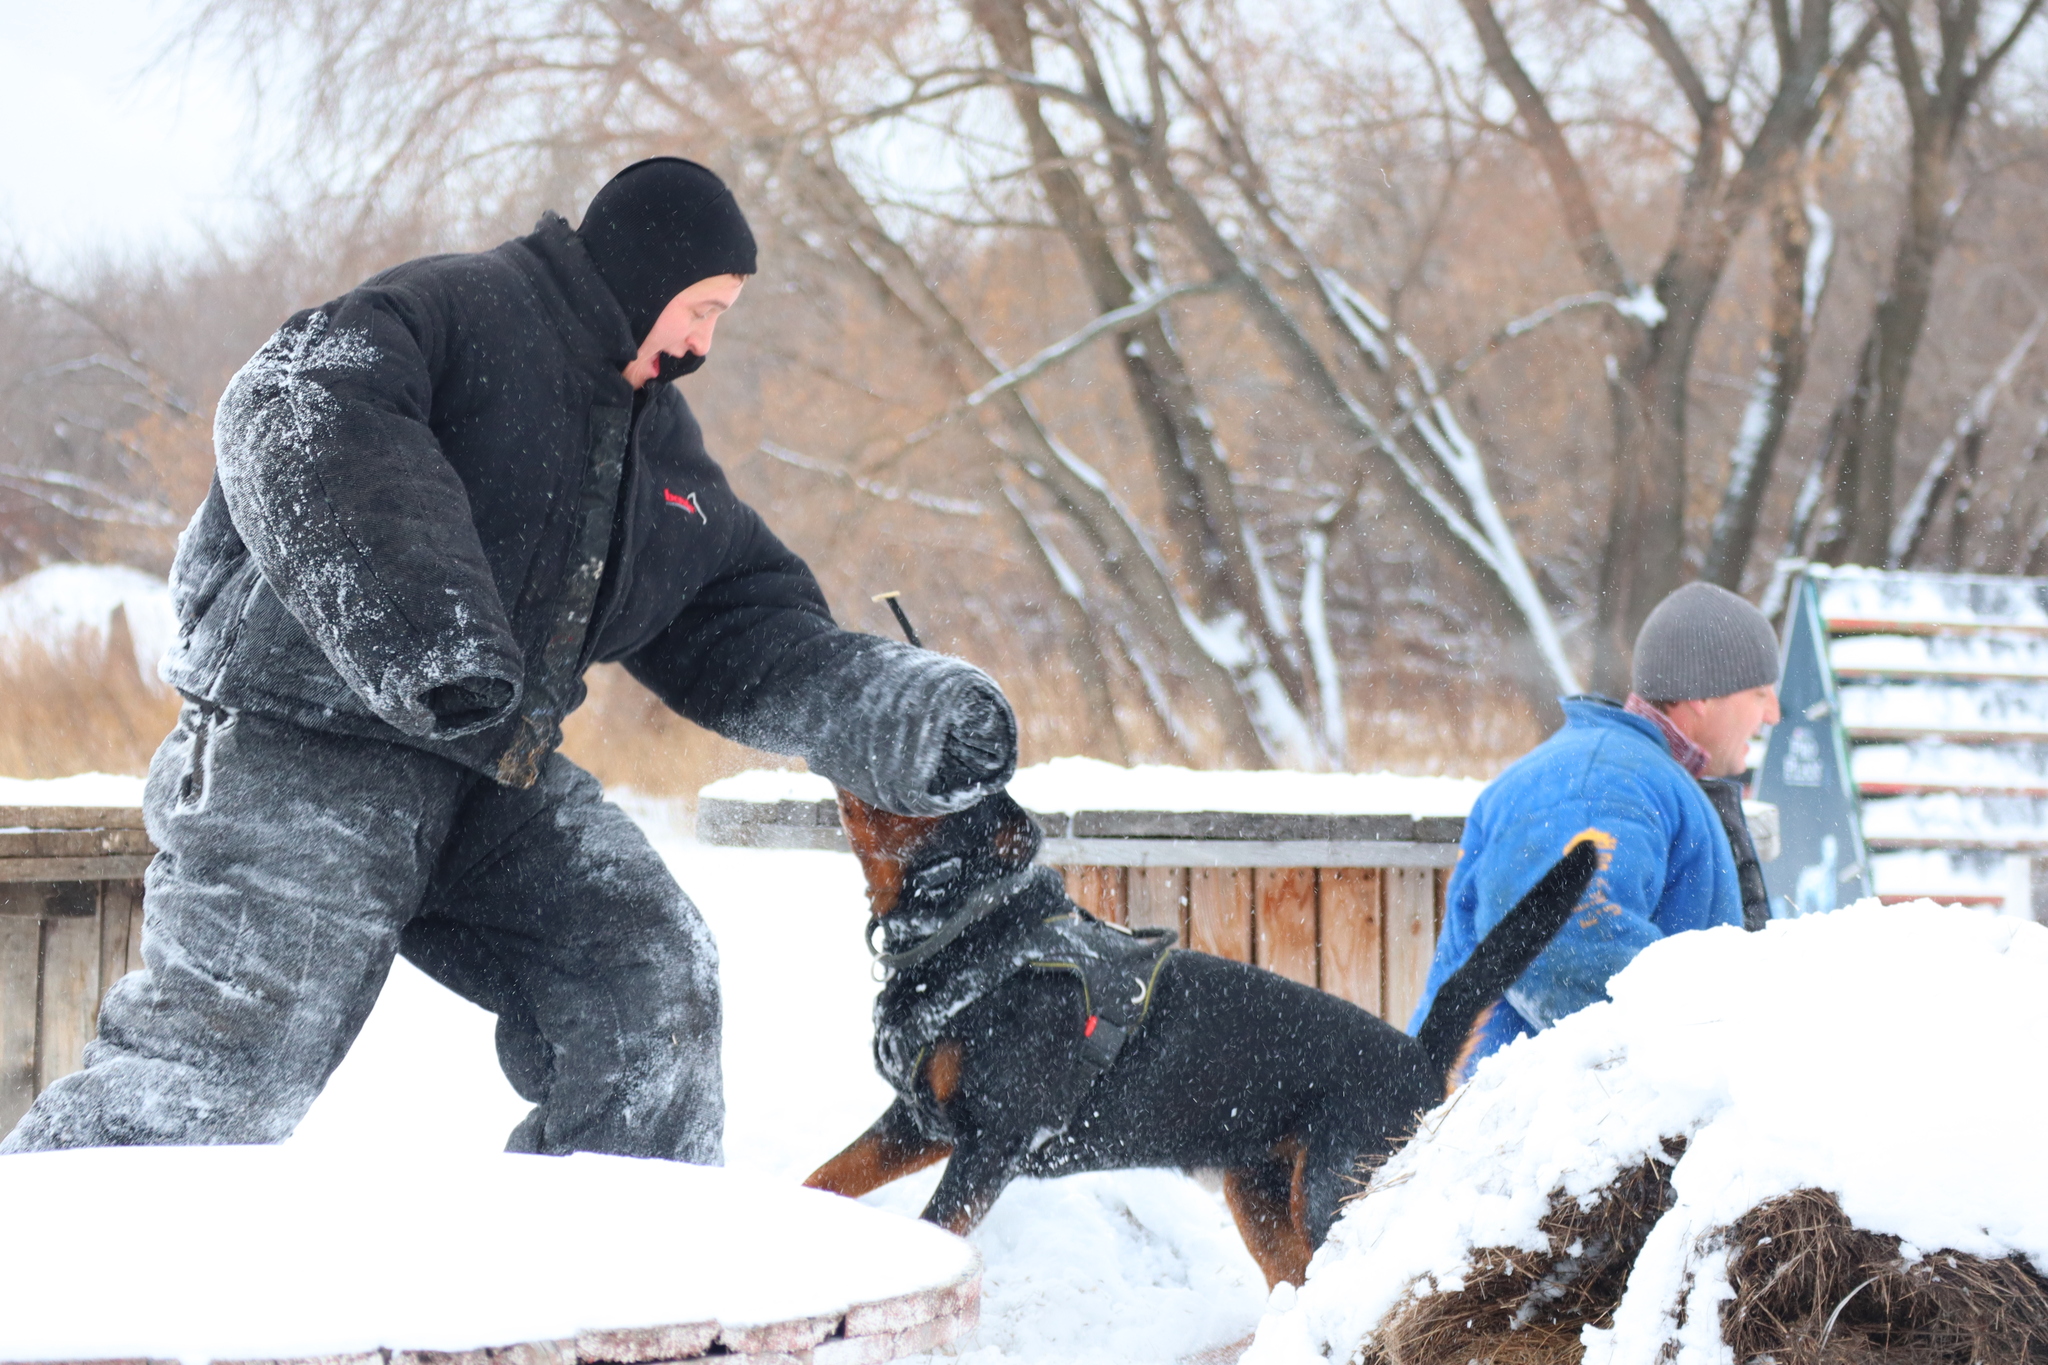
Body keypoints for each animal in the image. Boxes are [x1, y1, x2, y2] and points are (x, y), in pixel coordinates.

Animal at [802, 785, 1597, 1285]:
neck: (975, 934)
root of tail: (1419, 1055)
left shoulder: (992, 1141)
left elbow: (937, 1225)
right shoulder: (919, 1121)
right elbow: (827, 1177)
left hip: (1336, 1188)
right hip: (1261, 1197)